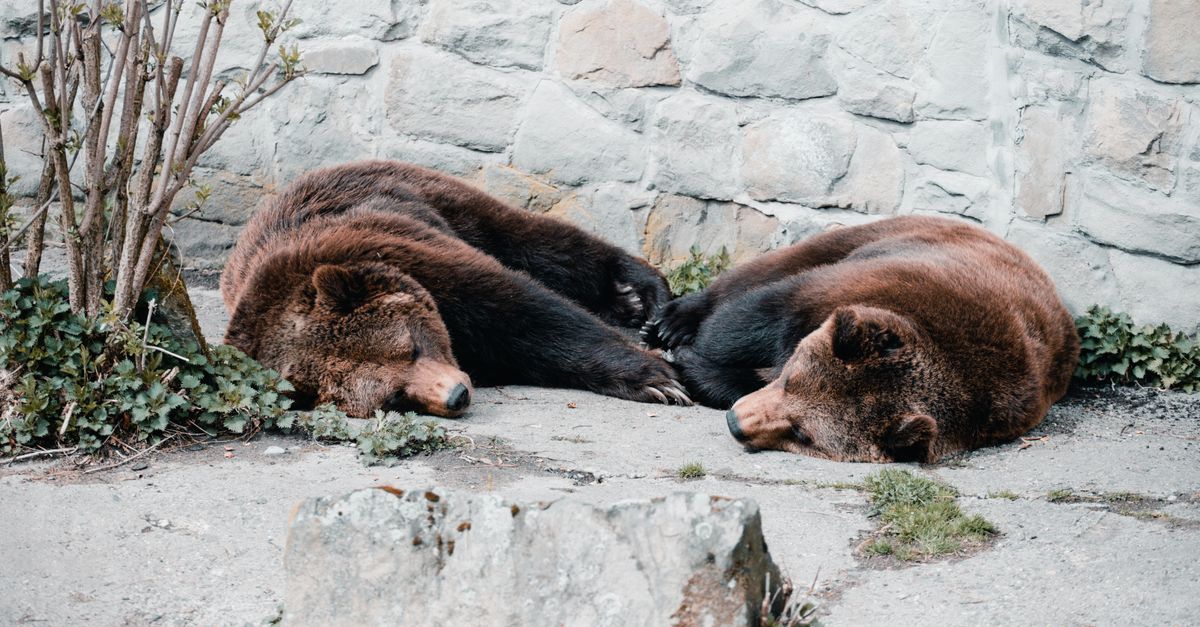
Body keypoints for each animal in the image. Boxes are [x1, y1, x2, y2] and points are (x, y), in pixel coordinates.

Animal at [221, 160, 691, 417]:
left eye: (410, 347)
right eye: (394, 397)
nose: (457, 395)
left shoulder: (407, 256)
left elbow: (528, 312)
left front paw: (657, 379)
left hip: (431, 200)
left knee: (542, 244)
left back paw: (640, 293)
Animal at [642, 215, 1080, 463]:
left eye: (803, 434)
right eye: (791, 379)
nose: (736, 423)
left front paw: (693, 368)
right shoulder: (864, 285)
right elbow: (745, 319)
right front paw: (681, 350)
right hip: (875, 237)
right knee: (767, 269)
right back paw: (671, 320)